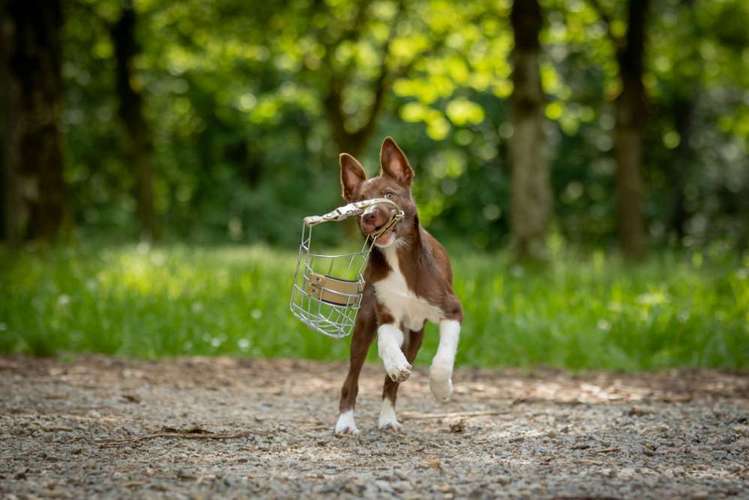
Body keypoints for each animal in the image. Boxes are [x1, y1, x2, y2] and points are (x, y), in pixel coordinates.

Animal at [334, 137, 462, 434]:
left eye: (389, 195)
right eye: (359, 203)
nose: (368, 216)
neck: (397, 257)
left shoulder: (452, 309)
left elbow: (443, 358)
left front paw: (441, 388)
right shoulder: (386, 314)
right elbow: (386, 340)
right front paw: (394, 362)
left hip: (416, 335)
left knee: (390, 385)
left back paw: (388, 418)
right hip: (363, 324)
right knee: (352, 379)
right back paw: (346, 422)